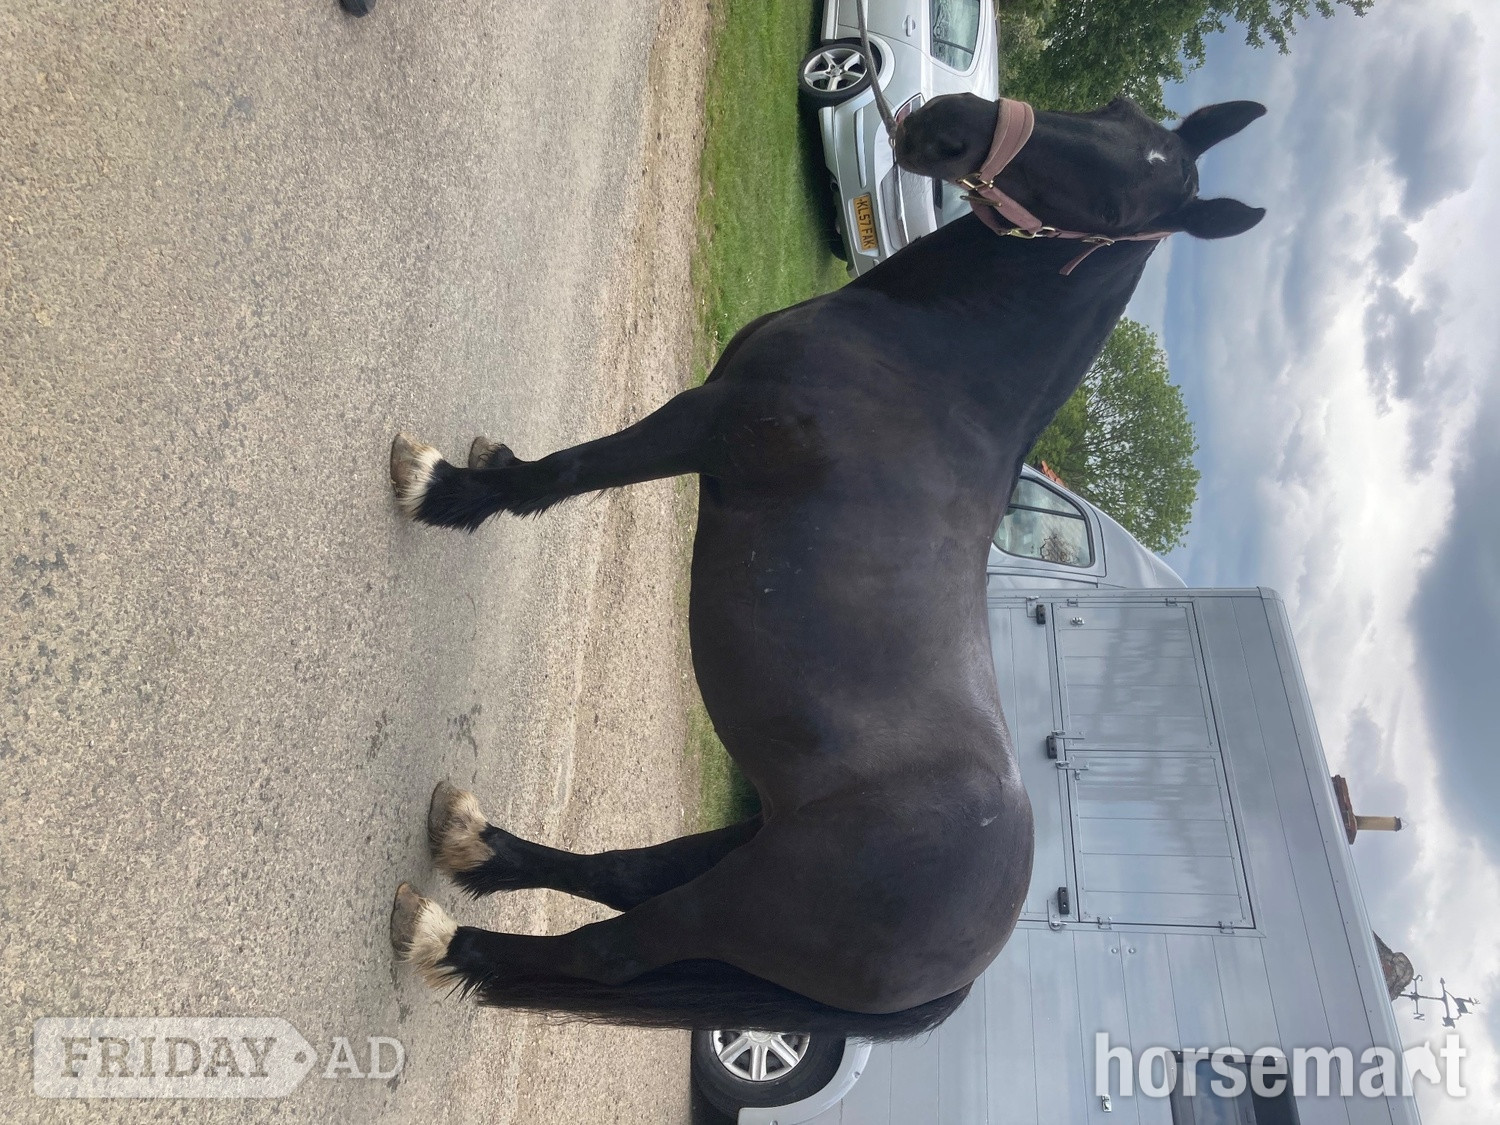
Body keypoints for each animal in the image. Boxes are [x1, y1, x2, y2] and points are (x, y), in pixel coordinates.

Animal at [386, 91, 1266, 1040]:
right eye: (1116, 109)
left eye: (1115, 208)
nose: (950, 122)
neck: (935, 368)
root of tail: (970, 961)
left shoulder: (706, 420)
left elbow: (567, 472)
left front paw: (443, 490)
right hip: (746, 842)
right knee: (622, 875)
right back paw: (477, 845)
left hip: (736, 904)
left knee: (608, 949)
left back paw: (446, 937)